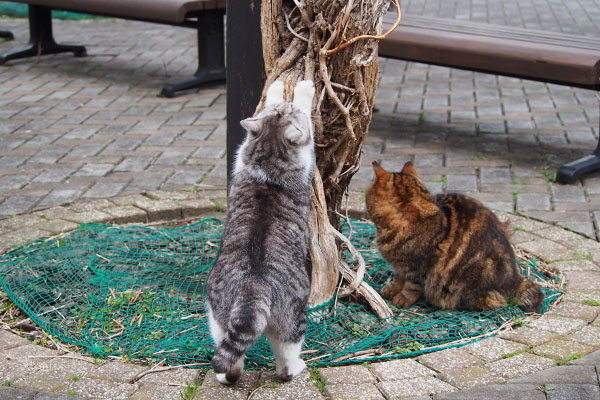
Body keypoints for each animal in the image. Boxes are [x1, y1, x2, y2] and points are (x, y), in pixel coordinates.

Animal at [205, 79, 316, 384]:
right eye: (285, 109)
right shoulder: (308, 148)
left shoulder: (242, 152)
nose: (285, 104)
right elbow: (307, 111)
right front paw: (300, 88)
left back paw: (225, 376)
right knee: (286, 363)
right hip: (294, 321)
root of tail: (253, 287)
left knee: (231, 360)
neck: (269, 159)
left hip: (216, 316)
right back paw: (296, 367)